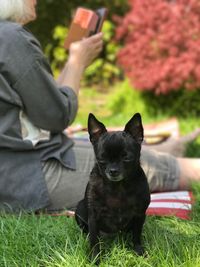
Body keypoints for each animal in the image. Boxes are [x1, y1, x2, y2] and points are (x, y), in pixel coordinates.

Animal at [75, 112, 150, 264]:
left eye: (126, 158)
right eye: (101, 159)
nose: (113, 170)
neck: (118, 187)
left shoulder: (139, 215)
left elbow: (136, 236)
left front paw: (139, 251)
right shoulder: (94, 217)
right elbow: (94, 241)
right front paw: (95, 258)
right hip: (80, 208)